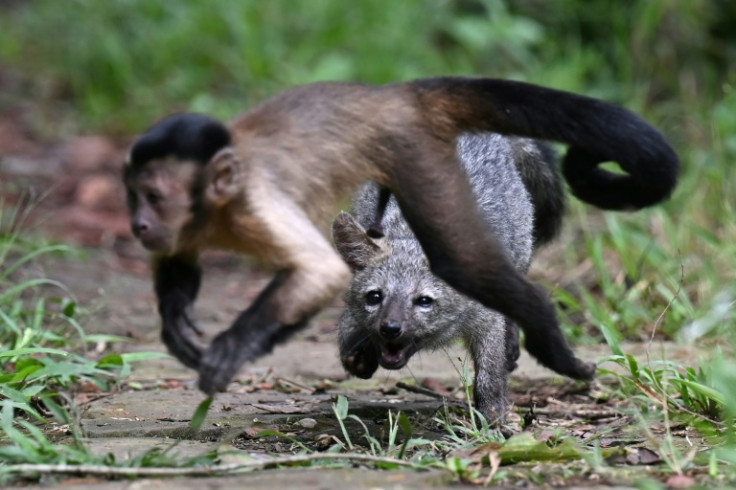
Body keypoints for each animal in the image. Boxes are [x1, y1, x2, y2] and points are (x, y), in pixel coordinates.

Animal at [121, 77, 680, 398]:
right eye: (375, 297)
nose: (390, 329)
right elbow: (346, 341)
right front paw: (360, 356)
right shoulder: (347, 299)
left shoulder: (483, 315)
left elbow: (489, 376)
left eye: (423, 301)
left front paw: (495, 422)